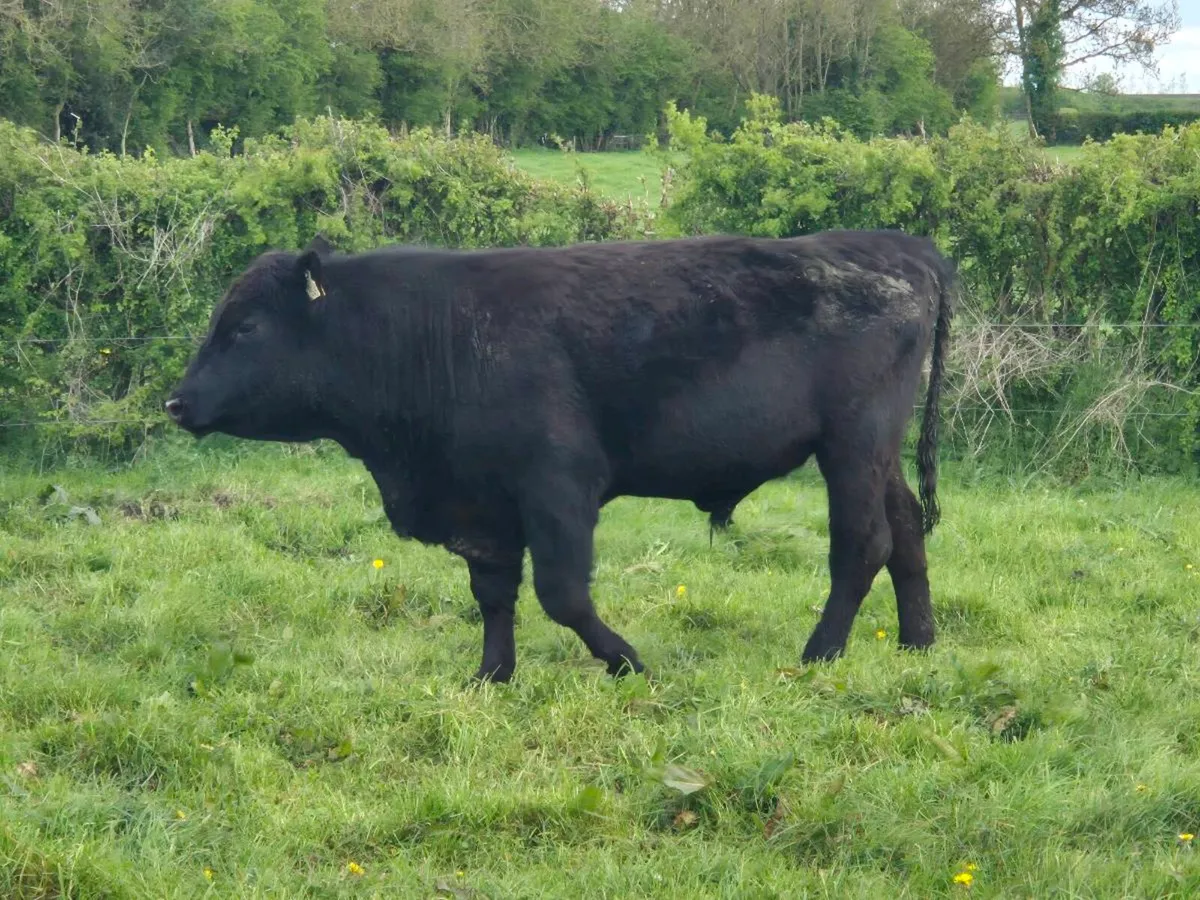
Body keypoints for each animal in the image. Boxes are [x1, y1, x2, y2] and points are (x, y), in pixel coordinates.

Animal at [166, 229, 955, 684]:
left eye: (247, 327)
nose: (176, 402)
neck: (429, 335)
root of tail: (896, 245)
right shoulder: (481, 506)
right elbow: (493, 594)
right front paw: (491, 676)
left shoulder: (556, 488)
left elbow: (562, 594)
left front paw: (627, 662)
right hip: (875, 454)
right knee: (907, 533)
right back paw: (917, 644)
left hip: (852, 445)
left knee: (864, 543)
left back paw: (820, 654)